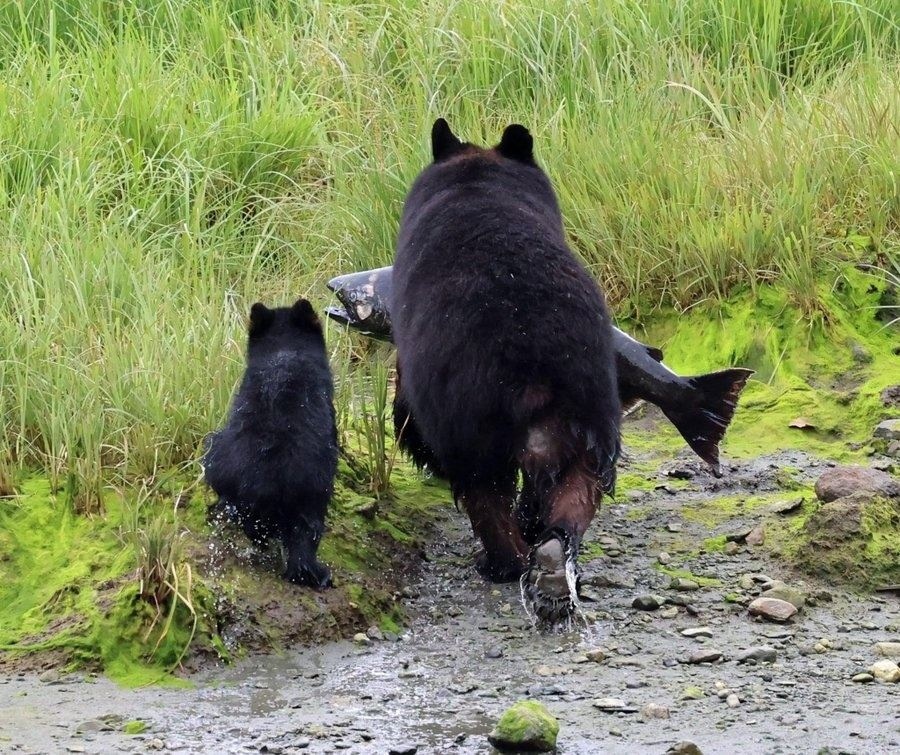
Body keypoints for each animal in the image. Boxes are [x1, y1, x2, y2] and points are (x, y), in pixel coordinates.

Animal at [391, 119, 622, 623]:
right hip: (590, 394)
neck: (477, 186)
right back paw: (553, 560)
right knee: (579, 481)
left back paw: (501, 561)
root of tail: (529, 352)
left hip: (468, 404)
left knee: (483, 486)